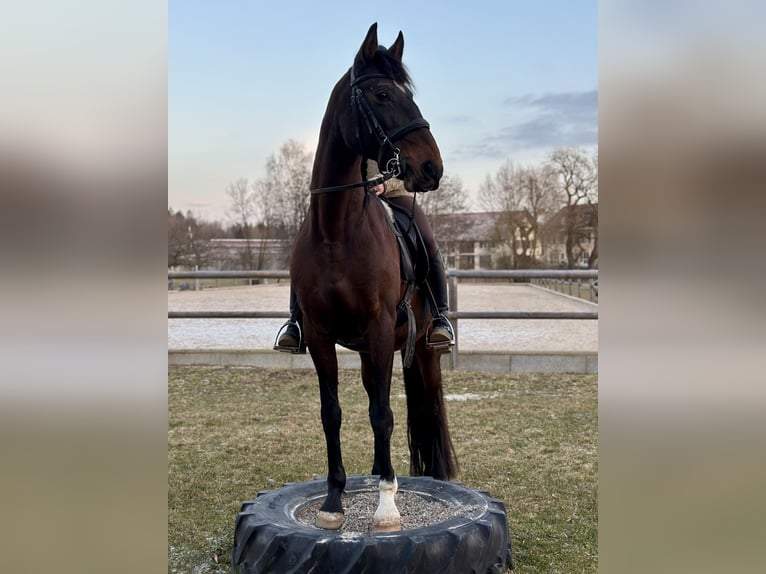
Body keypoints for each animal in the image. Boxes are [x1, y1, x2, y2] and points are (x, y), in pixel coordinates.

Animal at [288, 24, 456, 532]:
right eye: (382, 94)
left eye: (409, 95)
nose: (432, 168)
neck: (336, 231)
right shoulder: (320, 335)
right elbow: (333, 414)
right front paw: (333, 502)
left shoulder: (382, 329)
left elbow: (383, 415)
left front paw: (385, 507)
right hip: (366, 351)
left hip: (420, 348)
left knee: (422, 402)